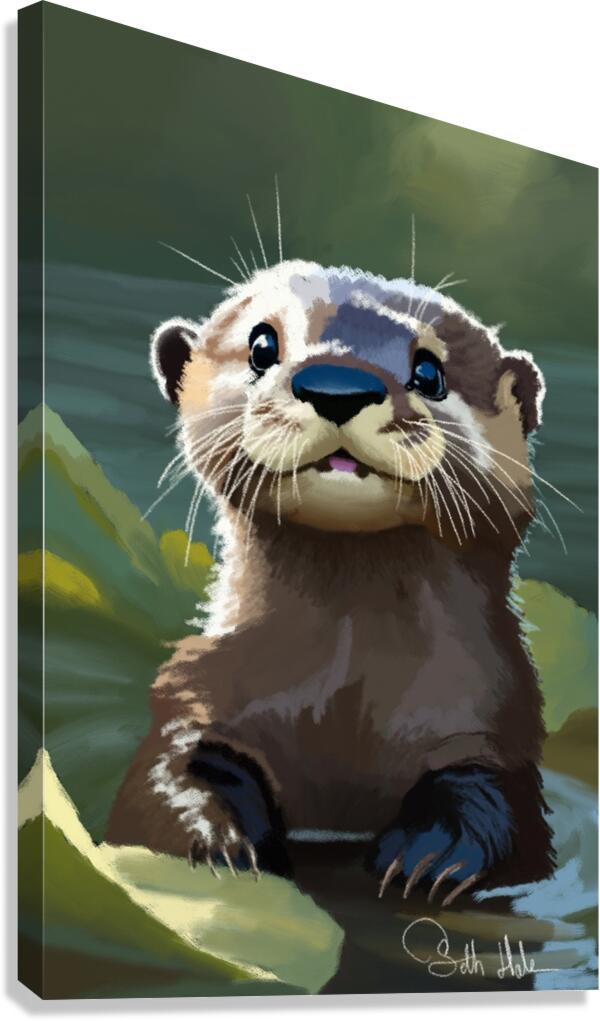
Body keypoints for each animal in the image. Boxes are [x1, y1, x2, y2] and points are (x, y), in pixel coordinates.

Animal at [107, 258, 555, 906]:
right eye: (261, 345)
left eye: (430, 370)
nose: (337, 386)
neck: (339, 717)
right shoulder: (197, 698)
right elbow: (165, 781)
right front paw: (221, 844)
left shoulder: (496, 728)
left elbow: (503, 808)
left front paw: (433, 858)